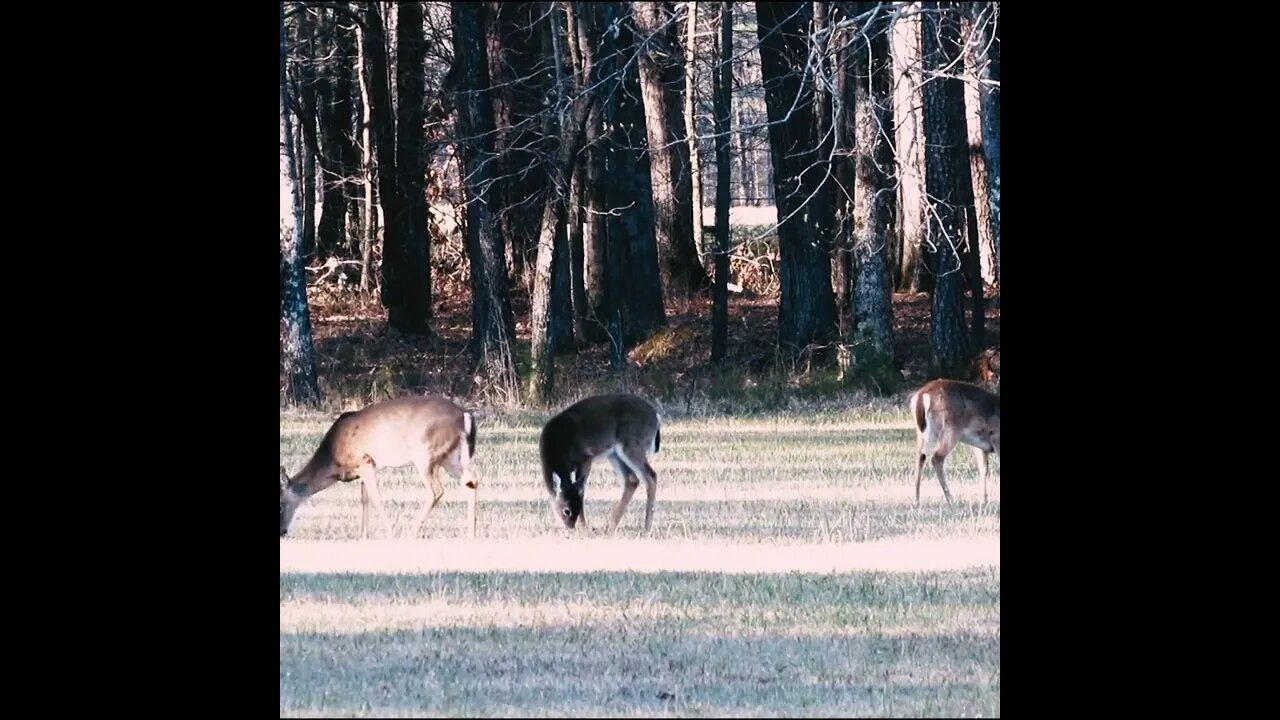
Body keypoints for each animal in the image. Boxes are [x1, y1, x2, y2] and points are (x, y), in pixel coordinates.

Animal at [279, 392, 476, 538]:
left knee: (436, 490)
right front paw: (363, 535)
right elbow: (364, 499)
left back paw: (411, 533)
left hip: (426, 453)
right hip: (449, 457)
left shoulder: (365, 460)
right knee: (471, 481)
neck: (334, 461)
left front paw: (389, 533)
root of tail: (464, 415)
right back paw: (470, 532)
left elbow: (376, 499)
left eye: (280, 504)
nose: (282, 532)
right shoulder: (362, 468)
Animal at [537, 389, 660, 530]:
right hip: (614, 454)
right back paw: (612, 525)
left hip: (631, 445)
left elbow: (582, 491)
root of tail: (656, 417)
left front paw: (584, 527)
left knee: (650, 476)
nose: (570, 527)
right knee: (632, 479)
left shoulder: (585, 457)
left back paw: (647, 527)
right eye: (566, 511)